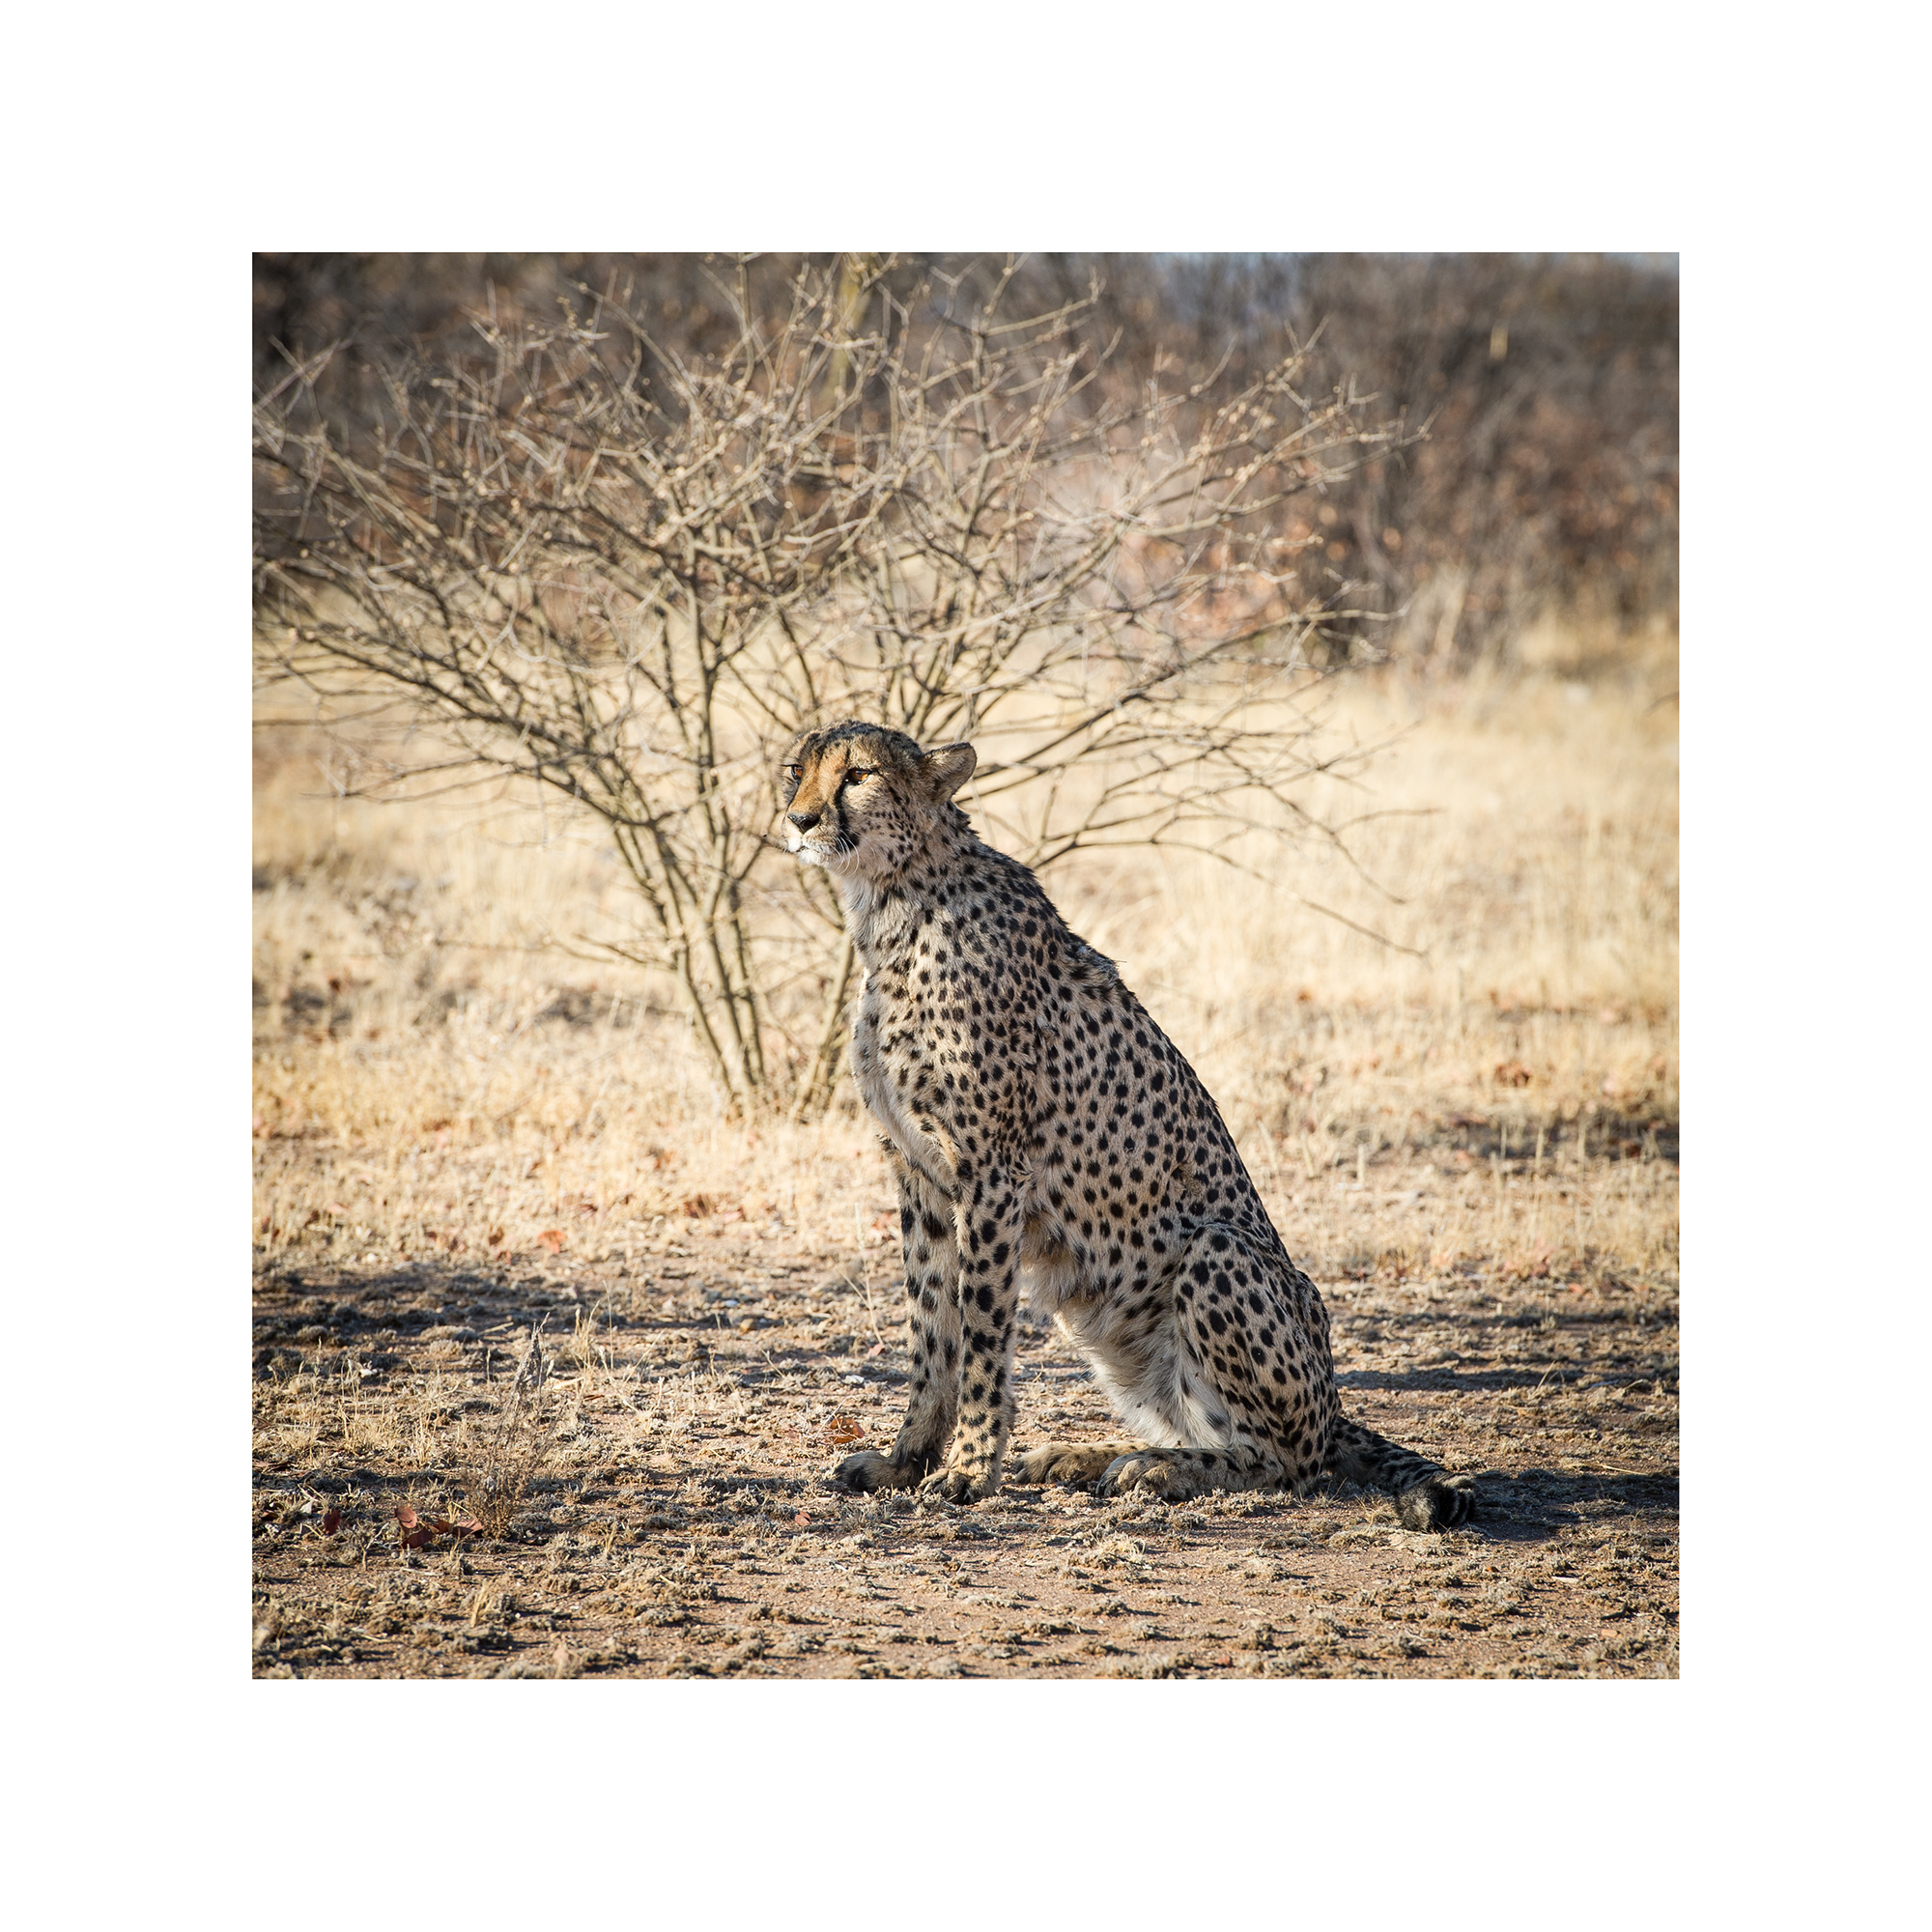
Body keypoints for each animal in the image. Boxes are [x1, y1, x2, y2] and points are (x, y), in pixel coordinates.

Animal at [779, 719, 1475, 1531]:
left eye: (857, 775)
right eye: (795, 770)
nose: (800, 820)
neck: (891, 900)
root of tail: (1330, 1405)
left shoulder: (990, 1173)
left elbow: (980, 1334)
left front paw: (970, 1470)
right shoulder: (918, 1173)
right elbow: (931, 1333)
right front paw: (905, 1461)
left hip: (1216, 1254)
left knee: (1285, 1462)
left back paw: (1154, 1469)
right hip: (1100, 1318)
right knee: (1194, 1421)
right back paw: (1083, 1457)